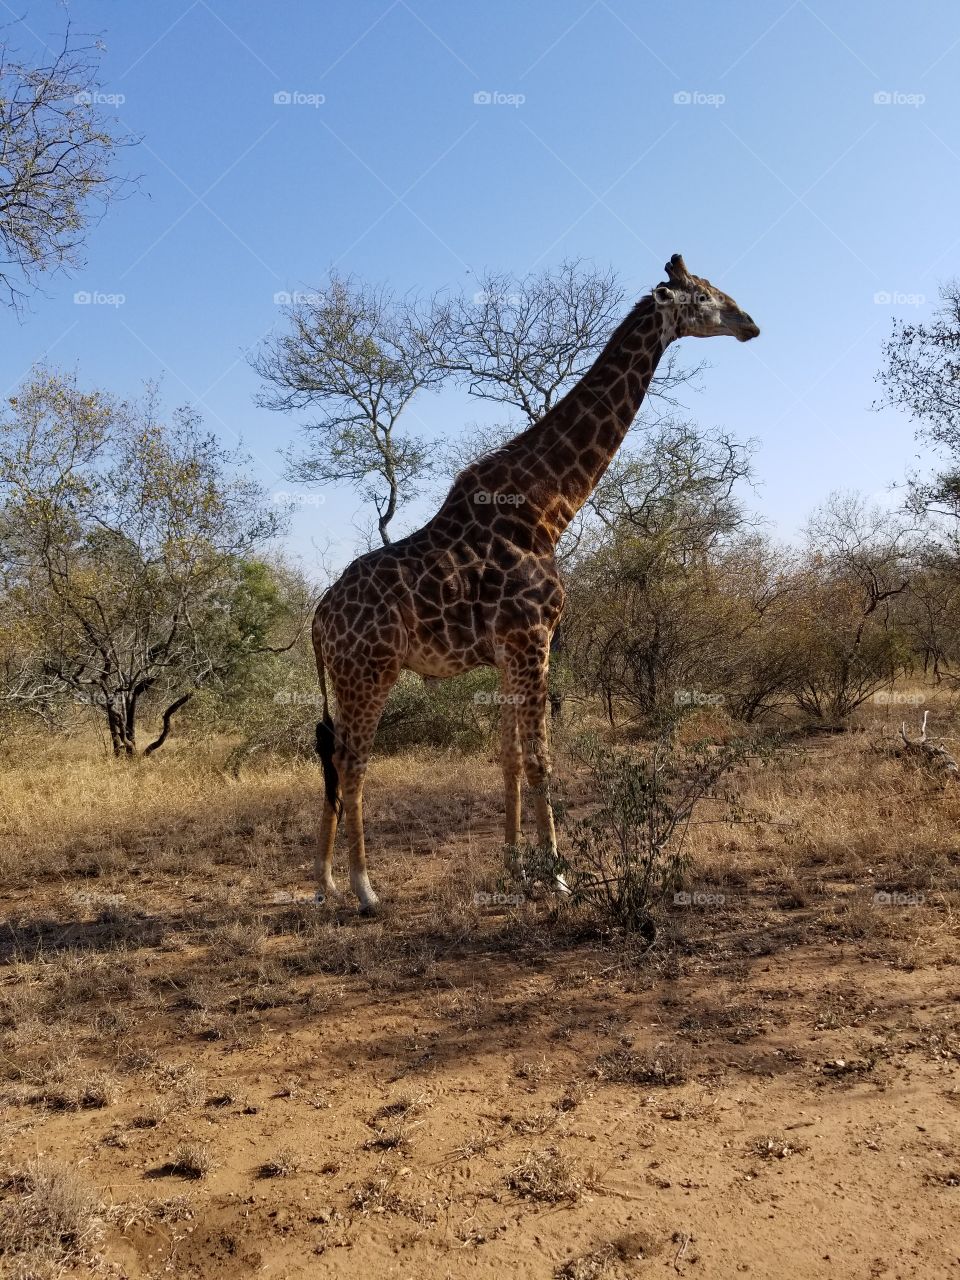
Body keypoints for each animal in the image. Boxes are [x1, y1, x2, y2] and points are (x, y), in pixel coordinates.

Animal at [312, 254, 759, 912]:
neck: (549, 507)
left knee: (330, 757)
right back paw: (365, 890)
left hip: (348, 678)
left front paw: (513, 866)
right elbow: (543, 758)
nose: (751, 323)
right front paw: (557, 873)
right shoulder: (534, 638)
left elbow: (508, 758)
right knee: (352, 761)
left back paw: (322, 883)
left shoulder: (507, 652)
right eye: (703, 296)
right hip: (370, 670)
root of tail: (318, 619)